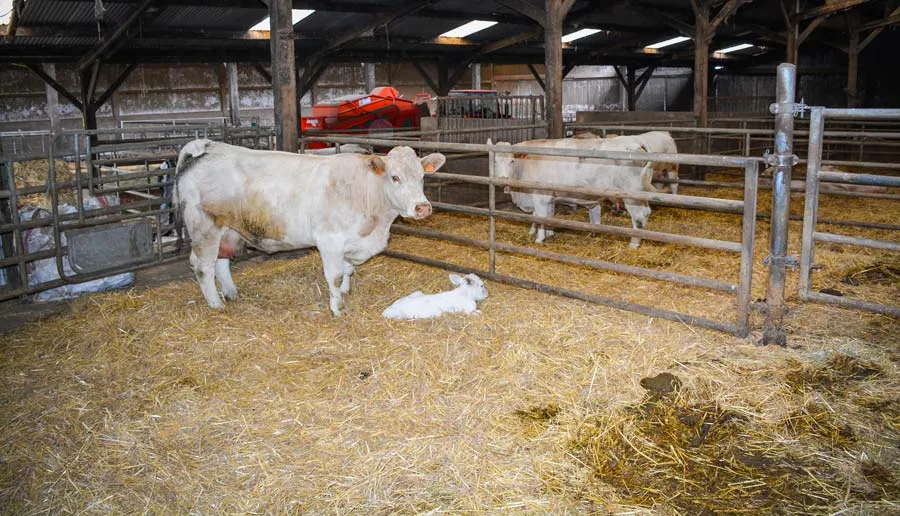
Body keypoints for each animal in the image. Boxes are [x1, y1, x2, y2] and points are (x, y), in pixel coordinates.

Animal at [174, 139, 445, 316]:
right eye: (395, 177)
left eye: (422, 176)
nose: (422, 207)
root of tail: (207, 148)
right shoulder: (330, 240)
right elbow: (335, 275)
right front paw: (337, 308)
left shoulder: (350, 242)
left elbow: (347, 271)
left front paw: (344, 293)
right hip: (205, 228)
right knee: (203, 266)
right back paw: (216, 305)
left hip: (229, 228)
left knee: (221, 262)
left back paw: (231, 294)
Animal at [491, 137, 658, 248]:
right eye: (494, 161)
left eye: (511, 161)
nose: (502, 179)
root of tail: (636, 143)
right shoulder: (550, 197)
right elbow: (549, 216)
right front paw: (550, 234)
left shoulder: (540, 196)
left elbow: (541, 217)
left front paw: (539, 239)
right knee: (646, 212)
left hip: (632, 195)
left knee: (638, 216)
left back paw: (634, 244)